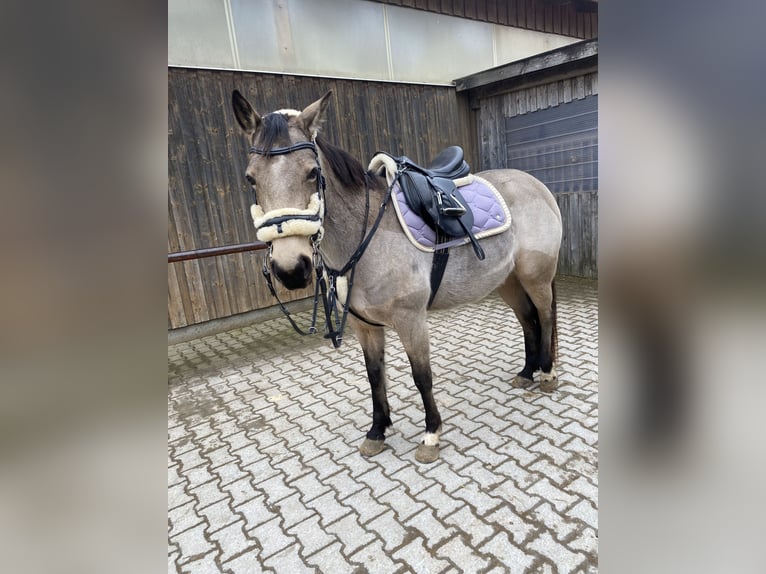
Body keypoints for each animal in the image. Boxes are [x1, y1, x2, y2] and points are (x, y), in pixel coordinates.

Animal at [230, 90, 562, 463]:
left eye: (312, 172)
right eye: (251, 178)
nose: (291, 268)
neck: (366, 237)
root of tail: (536, 184)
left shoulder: (411, 320)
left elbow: (422, 376)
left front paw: (431, 435)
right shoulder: (364, 326)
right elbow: (375, 376)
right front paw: (377, 431)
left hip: (536, 277)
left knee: (544, 316)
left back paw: (547, 374)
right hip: (507, 281)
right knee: (529, 321)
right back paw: (527, 373)